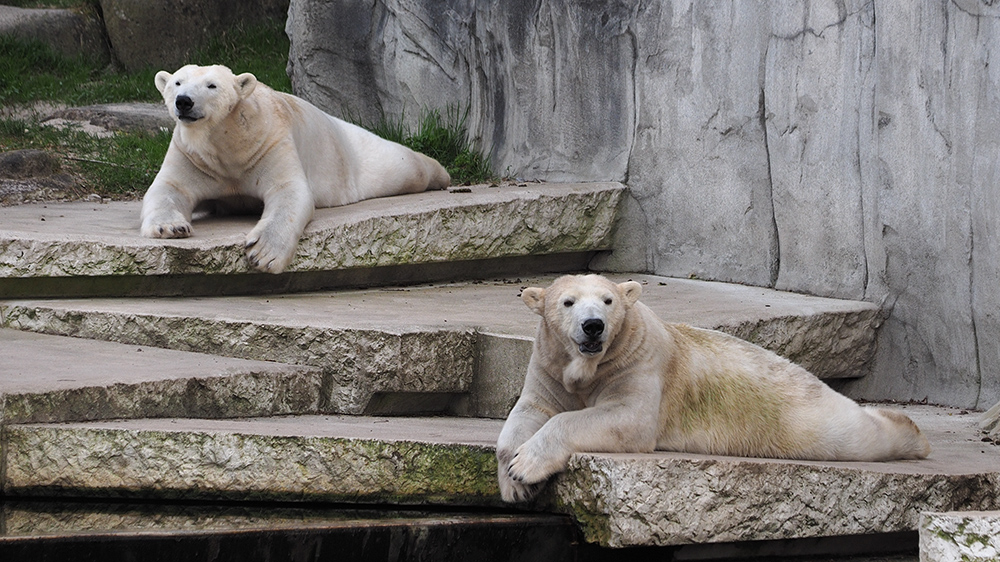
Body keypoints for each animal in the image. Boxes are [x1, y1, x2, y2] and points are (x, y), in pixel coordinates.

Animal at [140, 64, 450, 272]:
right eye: (177, 82)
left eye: (211, 85)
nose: (184, 101)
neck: (227, 142)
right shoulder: (192, 155)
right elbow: (169, 188)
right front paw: (171, 227)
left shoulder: (270, 141)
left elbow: (288, 191)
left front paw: (262, 253)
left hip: (358, 154)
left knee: (403, 166)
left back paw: (442, 175)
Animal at [496, 274, 932, 500]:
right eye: (567, 302)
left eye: (607, 300)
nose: (593, 326)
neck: (588, 366)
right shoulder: (550, 365)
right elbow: (531, 411)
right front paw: (514, 481)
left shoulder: (636, 361)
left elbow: (625, 418)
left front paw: (526, 465)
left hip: (801, 416)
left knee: (851, 433)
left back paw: (910, 433)